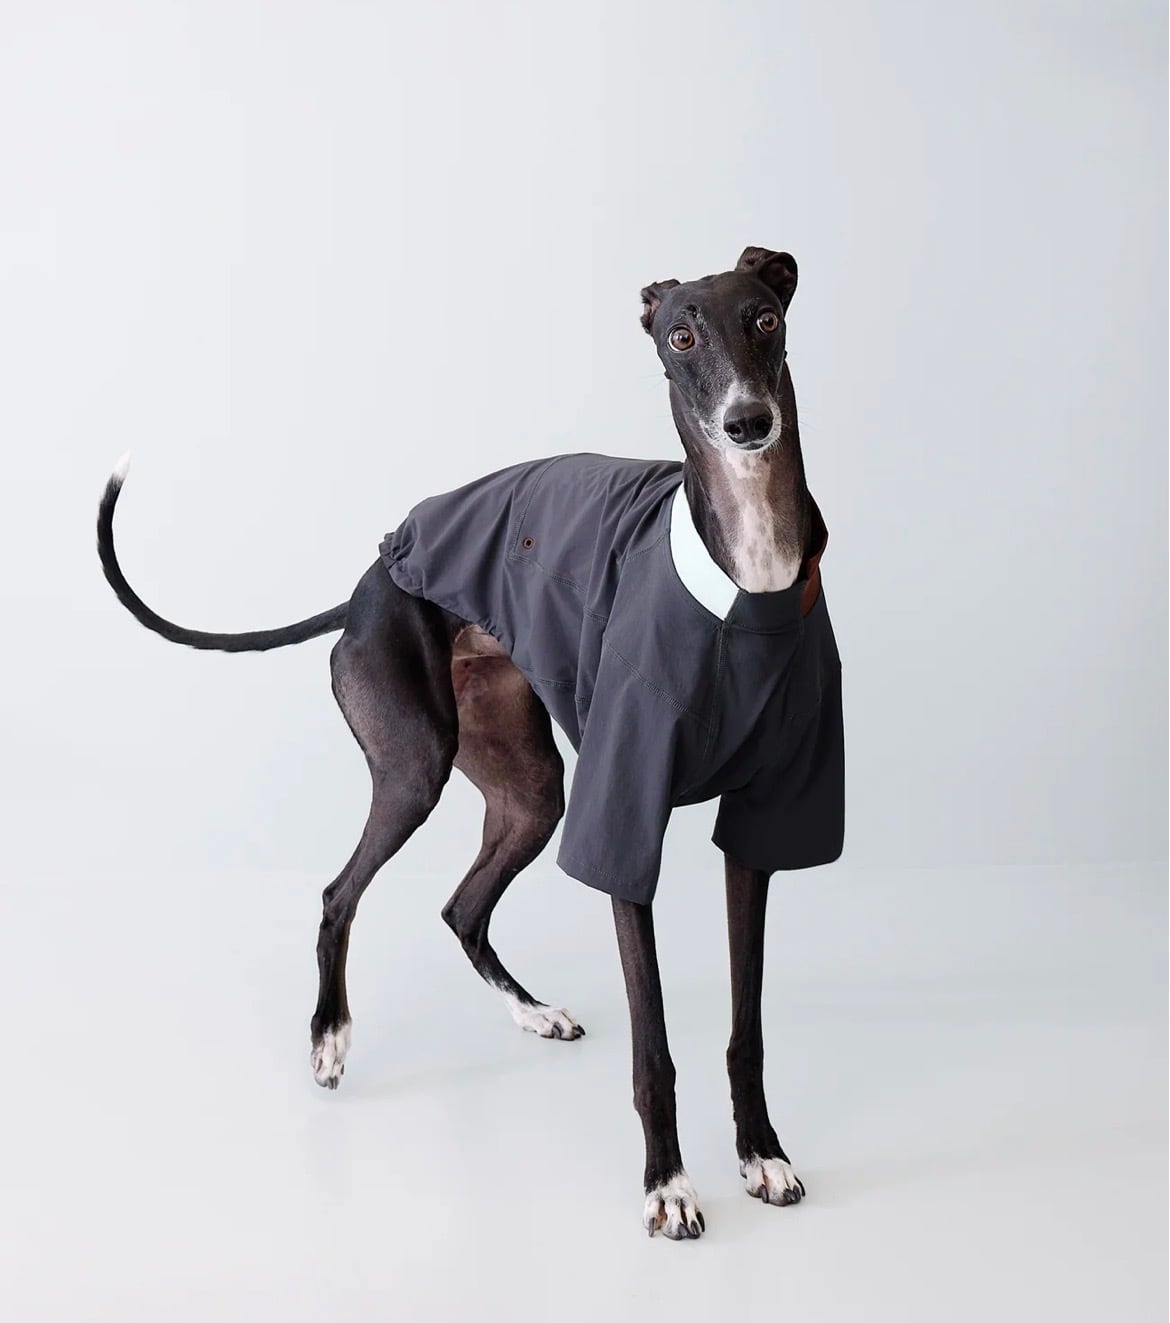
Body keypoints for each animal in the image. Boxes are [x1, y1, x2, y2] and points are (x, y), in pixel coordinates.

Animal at [97, 245, 844, 1240]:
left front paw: (761, 1153)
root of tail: (369, 580)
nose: (747, 423)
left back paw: (534, 1014)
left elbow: (746, 1025)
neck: (748, 571)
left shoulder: (765, 816)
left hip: (530, 790)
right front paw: (668, 1185)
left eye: (765, 318)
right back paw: (329, 1039)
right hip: (415, 767)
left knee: (462, 908)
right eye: (682, 336)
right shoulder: (621, 809)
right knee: (340, 893)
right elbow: (654, 1044)